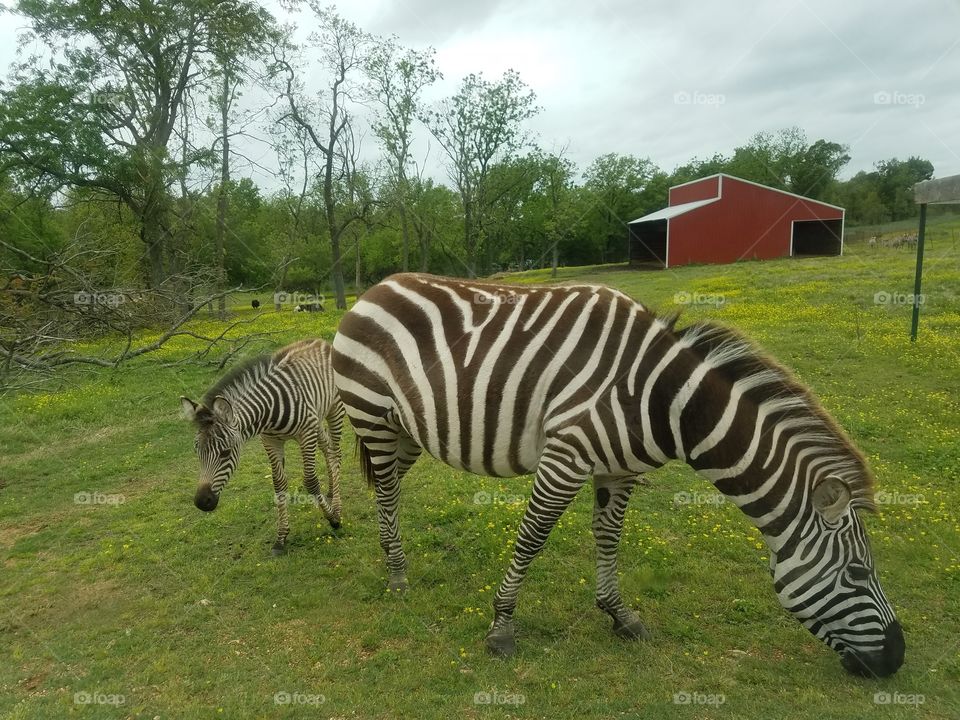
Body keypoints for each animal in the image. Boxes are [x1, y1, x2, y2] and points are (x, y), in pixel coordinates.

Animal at [181, 340, 344, 556]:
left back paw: (337, 505)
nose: (201, 502)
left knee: (336, 453)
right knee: (327, 448)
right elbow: (279, 483)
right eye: (197, 453)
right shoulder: (270, 441)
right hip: (316, 419)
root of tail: (319, 341)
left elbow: (310, 480)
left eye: (225, 453)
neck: (270, 412)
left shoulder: (305, 434)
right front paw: (281, 537)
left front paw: (333, 518)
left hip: (335, 409)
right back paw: (332, 491)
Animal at [334, 272, 904, 676]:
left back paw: (391, 558)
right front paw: (501, 627)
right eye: (859, 573)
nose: (896, 659)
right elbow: (532, 539)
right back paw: (397, 573)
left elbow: (609, 537)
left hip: (407, 432)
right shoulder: (565, 457)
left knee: (389, 488)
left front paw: (618, 614)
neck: (660, 399)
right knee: (385, 492)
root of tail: (376, 287)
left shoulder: (619, 470)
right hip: (372, 416)